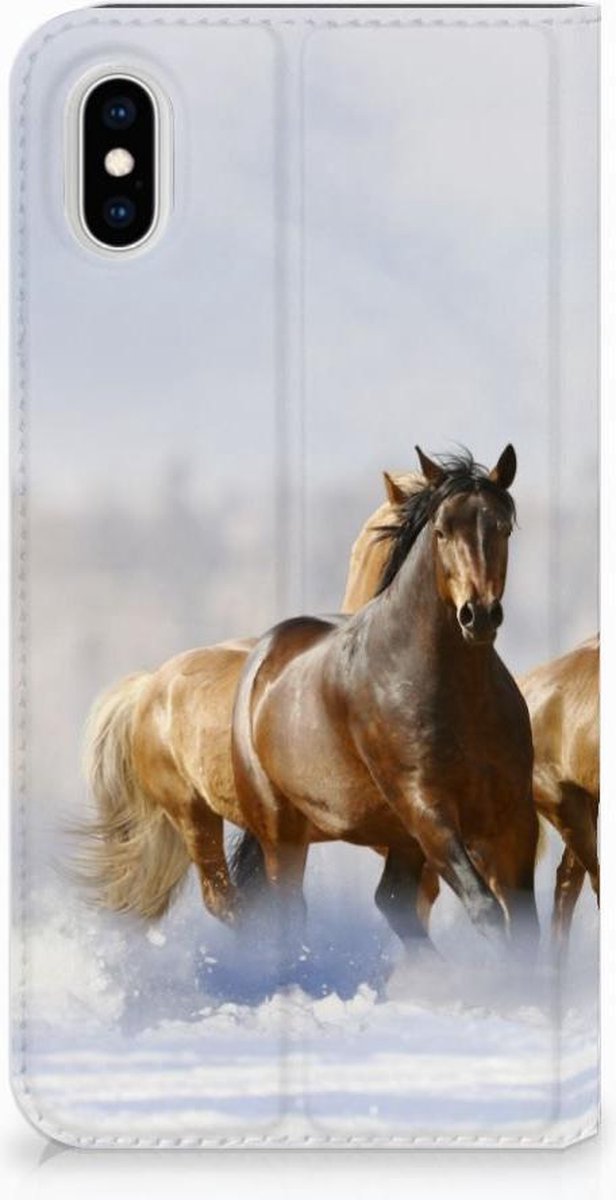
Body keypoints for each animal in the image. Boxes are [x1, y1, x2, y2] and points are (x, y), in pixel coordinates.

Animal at [230, 446, 539, 952]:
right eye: (441, 530)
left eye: (502, 528)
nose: (478, 615)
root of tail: (264, 656)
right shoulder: (427, 810)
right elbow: (486, 909)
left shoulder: (513, 815)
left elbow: (526, 926)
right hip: (282, 831)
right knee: (289, 912)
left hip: (398, 838)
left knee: (393, 901)